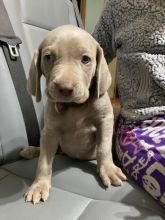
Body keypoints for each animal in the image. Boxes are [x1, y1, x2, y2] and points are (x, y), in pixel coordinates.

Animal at [23, 25, 126, 205]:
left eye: (85, 59)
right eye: (48, 57)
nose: (65, 88)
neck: (75, 107)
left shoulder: (105, 120)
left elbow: (104, 147)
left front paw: (108, 169)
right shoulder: (50, 132)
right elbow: (44, 161)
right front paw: (39, 185)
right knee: (47, 150)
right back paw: (31, 150)